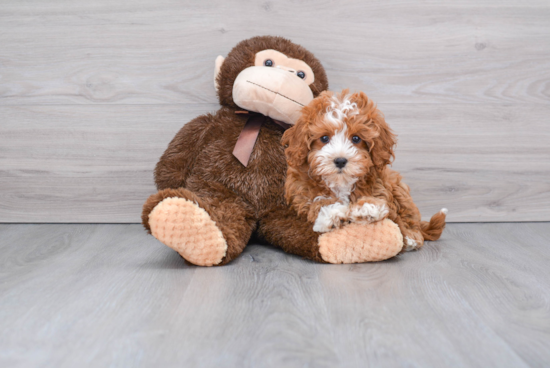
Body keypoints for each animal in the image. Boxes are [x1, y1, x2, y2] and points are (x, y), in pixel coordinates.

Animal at [284, 90, 448, 250]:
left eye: (356, 138)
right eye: (324, 138)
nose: (340, 160)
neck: (341, 182)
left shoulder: (381, 186)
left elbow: (384, 206)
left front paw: (367, 208)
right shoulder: (301, 193)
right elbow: (317, 200)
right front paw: (333, 213)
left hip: (398, 188)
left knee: (409, 217)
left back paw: (411, 237)